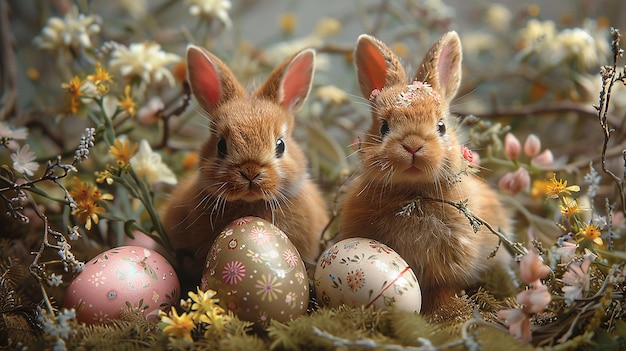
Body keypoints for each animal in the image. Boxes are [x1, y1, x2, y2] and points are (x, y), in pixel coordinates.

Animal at [338, 31, 510, 314]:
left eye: (441, 126)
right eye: (384, 127)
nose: (413, 145)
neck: (414, 193)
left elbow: (442, 289)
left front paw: (444, 312)